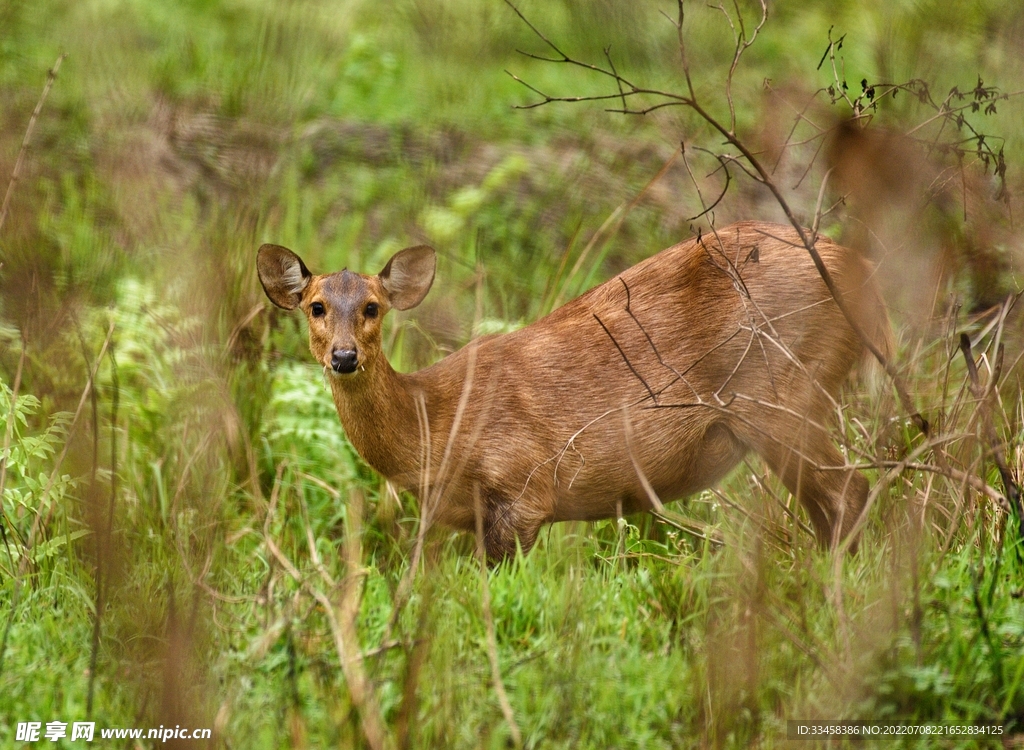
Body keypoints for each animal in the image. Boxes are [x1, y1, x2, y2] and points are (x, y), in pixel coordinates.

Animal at [256, 219, 888, 561]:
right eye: (316, 306)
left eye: (372, 307)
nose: (344, 357)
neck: (436, 422)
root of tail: (860, 268)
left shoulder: (523, 487)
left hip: (783, 389)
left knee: (851, 493)